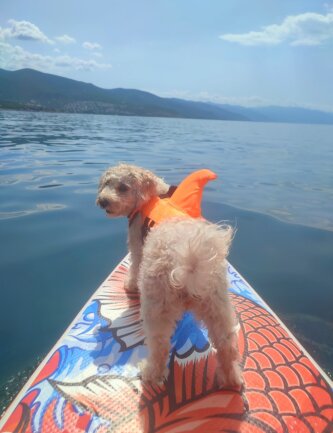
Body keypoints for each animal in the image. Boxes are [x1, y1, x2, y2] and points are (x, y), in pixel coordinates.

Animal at [95, 164, 241, 386]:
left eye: (122, 187)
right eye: (106, 184)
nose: (103, 201)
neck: (155, 194)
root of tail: (188, 264)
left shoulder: (137, 244)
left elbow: (134, 266)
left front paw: (130, 285)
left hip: (157, 307)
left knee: (160, 347)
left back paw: (150, 374)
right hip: (218, 306)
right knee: (226, 345)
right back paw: (231, 378)